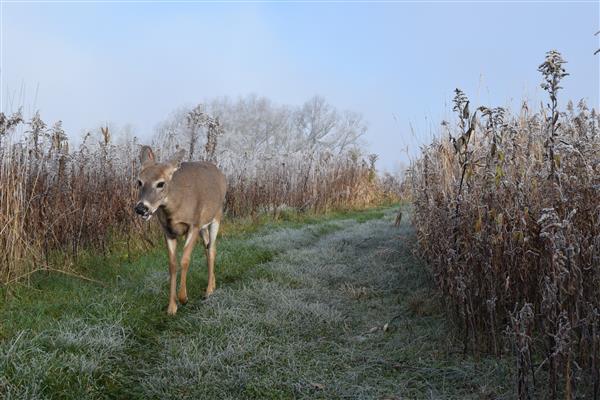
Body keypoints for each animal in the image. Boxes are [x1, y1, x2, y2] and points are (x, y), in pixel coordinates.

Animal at [135, 145, 226, 314]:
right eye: (139, 182)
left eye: (161, 183)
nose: (141, 208)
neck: (175, 209)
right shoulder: (168, 231)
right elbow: (172, 264)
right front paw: (171, 307)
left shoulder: (193, 225)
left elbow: (185, 260)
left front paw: (183, 297)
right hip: (203, 226)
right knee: (207, 247)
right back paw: (213, 283)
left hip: (216, 216)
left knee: (211, 249)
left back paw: (209, 290)